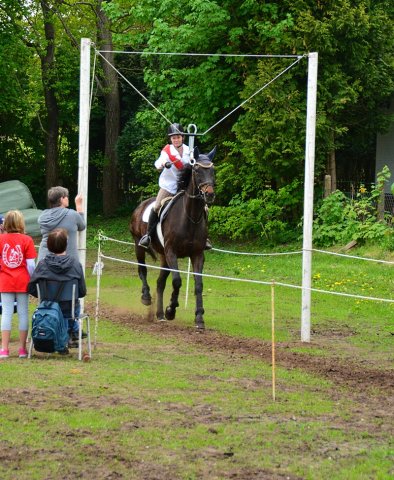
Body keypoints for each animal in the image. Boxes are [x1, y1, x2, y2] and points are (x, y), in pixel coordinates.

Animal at [129, 146, 215, 330]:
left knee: (160, 282)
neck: (190, 217)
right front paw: (171, 310)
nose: (209, 195)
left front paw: (199, 318)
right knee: (142, 270)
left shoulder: (197, 254)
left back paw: (159, 314)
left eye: (213, 170)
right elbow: (177, 281)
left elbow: (198, 284)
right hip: (139, 245)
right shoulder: (171, 252)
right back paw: (147, 298)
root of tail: (140, 206)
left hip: (163, 257)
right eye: (197, 170)